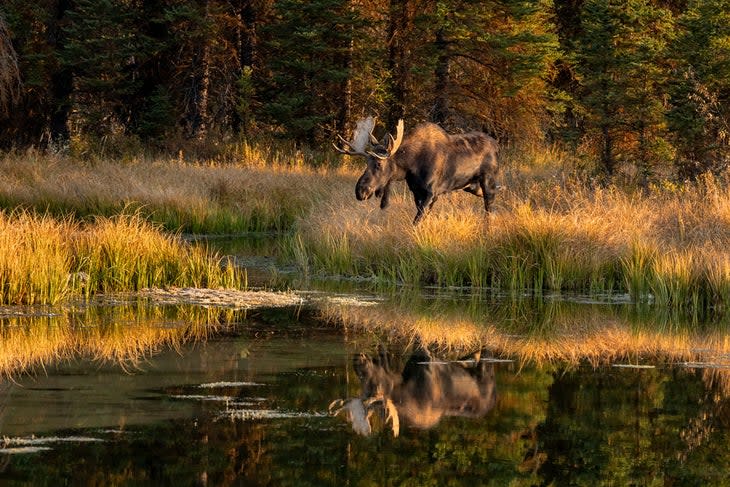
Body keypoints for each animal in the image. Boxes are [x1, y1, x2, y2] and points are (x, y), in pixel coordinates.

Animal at [332, 117, 498, 224]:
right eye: (367, 163)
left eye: (378, 164)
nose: (360, 191)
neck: (412, 166)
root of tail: (497, 146)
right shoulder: (416, 192)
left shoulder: (431, 192)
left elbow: (417, 221)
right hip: (472, 186)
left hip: (487, 181)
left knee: (489, 208)